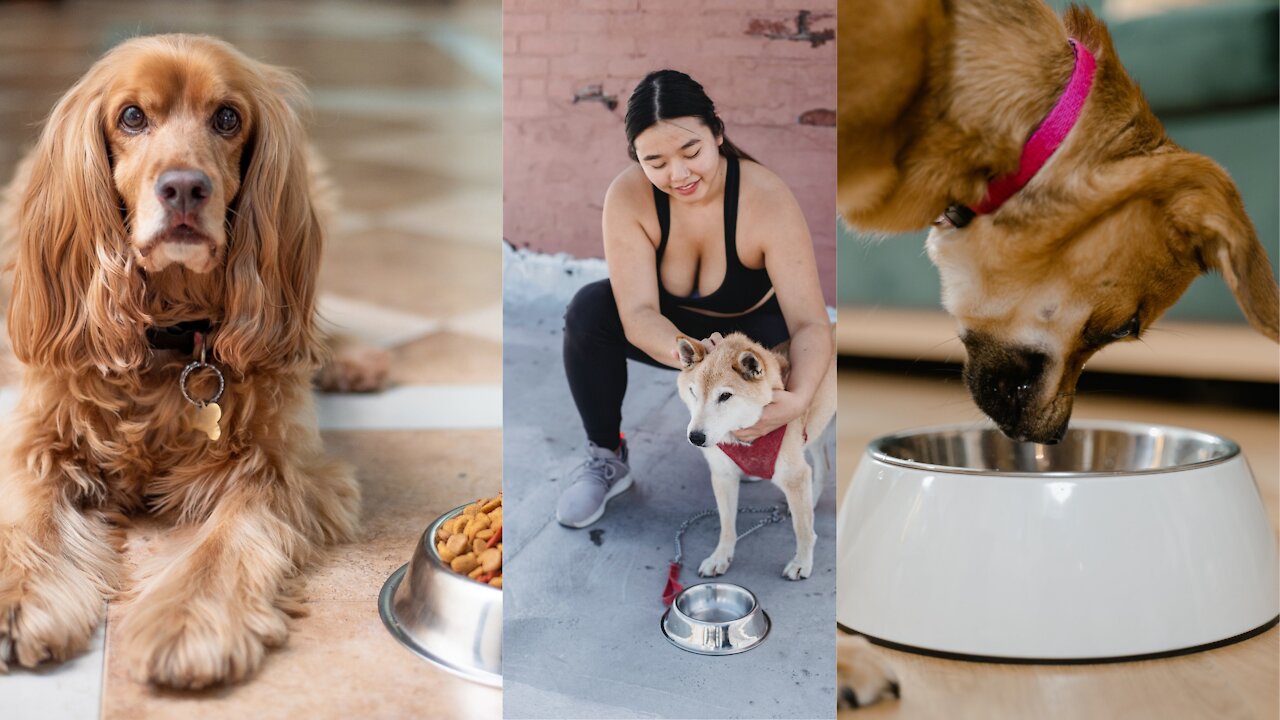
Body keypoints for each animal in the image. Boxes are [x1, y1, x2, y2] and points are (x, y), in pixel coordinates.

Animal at [675, 330, 834, 576]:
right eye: (693, 392)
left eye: (725, 396)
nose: (696, 437)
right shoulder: (723, 475)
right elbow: (726, 525)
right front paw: (720, 557)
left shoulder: (794, 476)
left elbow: (803, 529)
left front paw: (802, 563)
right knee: (823, 468)